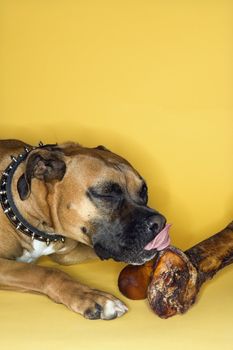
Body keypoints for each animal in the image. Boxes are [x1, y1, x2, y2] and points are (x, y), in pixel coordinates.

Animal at [0, 139, 166, 320]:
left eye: (144, 191)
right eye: (106, 194)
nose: (160, 223)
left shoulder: (66, 254)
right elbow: (47, 272)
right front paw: (91, 296)